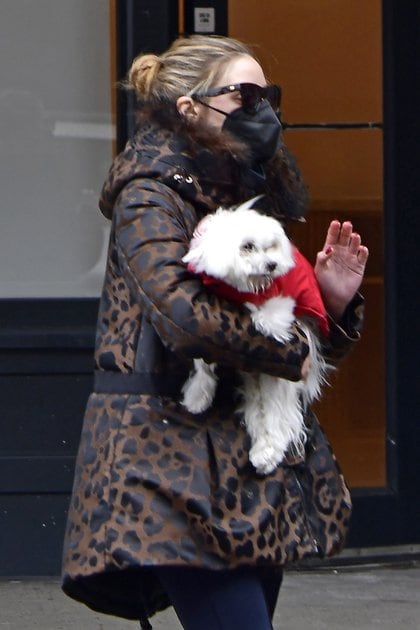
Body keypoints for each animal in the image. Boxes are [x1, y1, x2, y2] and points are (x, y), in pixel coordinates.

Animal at [180, 198, 328, 474]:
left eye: (271, 247)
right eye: (247, 247)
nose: (272, 265)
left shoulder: (278, 303)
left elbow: (268, 316)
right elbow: (202, 356)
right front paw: (197, 396)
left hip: (278, 381)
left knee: (276, 418)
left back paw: (267, 454)